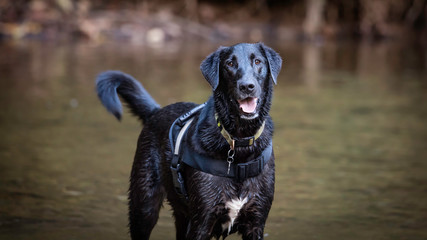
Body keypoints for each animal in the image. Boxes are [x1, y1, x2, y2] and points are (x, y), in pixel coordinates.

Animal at [97, 43, 282, 240]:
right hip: (144, 206)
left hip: (181, 216)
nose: (247, 86)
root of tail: (156, 111)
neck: (238, 143)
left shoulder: (256, 223)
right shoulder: (201, 223)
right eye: (230, 64)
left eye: (258, 61)